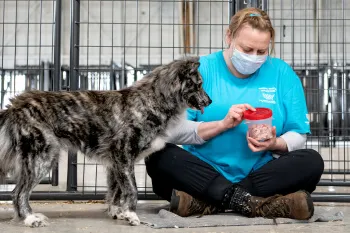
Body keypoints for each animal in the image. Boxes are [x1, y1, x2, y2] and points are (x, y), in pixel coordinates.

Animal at [0, 57, 211, 228]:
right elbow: (132, 189)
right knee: (19, 193)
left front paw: (118, 212)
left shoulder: (115, 163)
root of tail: (15, 106)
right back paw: (30, 219)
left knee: (17, 193)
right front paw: (132, 215)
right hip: (42, 158)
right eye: (199, 84)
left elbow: (116, 191)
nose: (209, 101)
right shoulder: (123, 155)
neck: (150, 102)